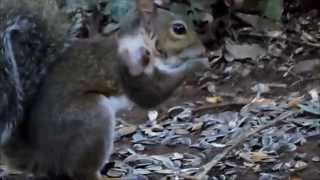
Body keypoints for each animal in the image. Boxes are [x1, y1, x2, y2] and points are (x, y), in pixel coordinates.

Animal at [0, 0, 208, 180]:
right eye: (179, 29)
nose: (203, 49)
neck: (141, 40)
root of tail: (42, 157)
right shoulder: (128, 67)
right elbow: (149, 95)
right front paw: (197, 63)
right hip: (91, 116)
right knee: (81, 172)